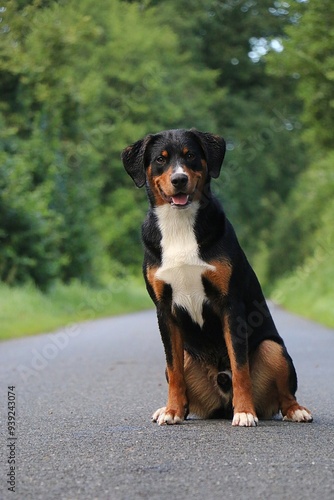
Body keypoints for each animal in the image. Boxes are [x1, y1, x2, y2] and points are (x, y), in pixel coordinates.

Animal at [122, 128, 314, 426]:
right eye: (160, 159)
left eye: (190, 155)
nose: (179, 179)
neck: (180, 225)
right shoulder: (164, 310)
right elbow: (174, 371)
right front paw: (172, 411)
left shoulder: (230, 304)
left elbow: (240, 366)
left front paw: (244, 412)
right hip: (188, 355)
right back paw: (174, 409)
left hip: (273, 348)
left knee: (283, 393)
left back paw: (295, 410)